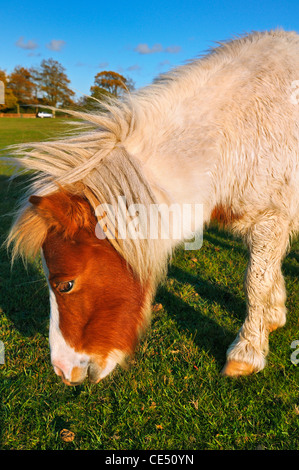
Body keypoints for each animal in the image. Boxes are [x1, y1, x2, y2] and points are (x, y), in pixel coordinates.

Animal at [5, 29, 299, 384]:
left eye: (66, 285)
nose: (63, 371)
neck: (238, 129)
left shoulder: (270, 219)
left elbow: (255, 282)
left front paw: (247, 351)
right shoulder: (267, 221)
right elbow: (269, 274)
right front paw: (275, 315)